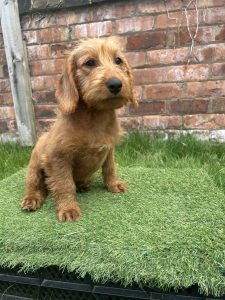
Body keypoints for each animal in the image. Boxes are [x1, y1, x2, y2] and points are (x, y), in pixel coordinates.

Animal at [21, 37, 138, 220]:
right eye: (90, 63)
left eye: (118, 60)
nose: (116, 84)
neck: (95, 117)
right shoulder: (58, 158)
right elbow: (64, 184)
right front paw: (68, 208)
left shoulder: (109, 149)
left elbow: (110, 168)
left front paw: (113, 184)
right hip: (34, 164)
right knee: (36, 184)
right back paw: (32, 199)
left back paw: (83, 184)